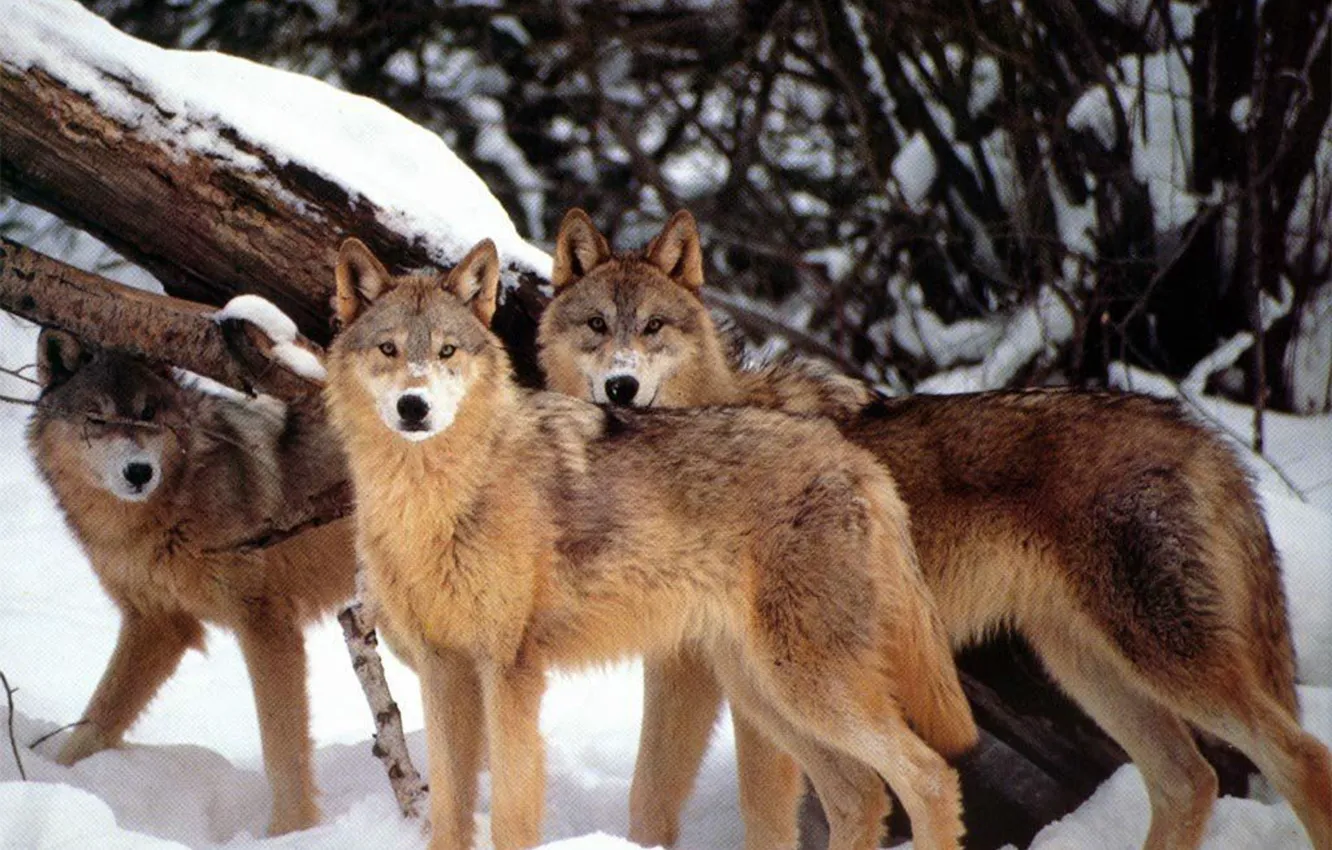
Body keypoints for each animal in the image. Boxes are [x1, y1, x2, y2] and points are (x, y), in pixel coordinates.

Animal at [27, 329, 357, 835]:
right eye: (97, 419)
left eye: (147, 413)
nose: (139, 471)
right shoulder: (157, 625)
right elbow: (93, 724)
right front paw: (56, 783)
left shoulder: (266, 624)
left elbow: (282, 750)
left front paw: (290, 833)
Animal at [323, 236, 978, 850]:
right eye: (388, 350)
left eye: (446, 352)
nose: (414, 405)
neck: (436, 502)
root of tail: (853, 456)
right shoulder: (442, 671)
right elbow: (447, 816)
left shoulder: (510, 673)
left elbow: (510, 815)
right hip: (764, 691)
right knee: (860, 794)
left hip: (807, 685)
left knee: (928, 776)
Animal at [536, 208, 1332, 850]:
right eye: (597, 326)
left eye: (653, 328)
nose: (621, 387)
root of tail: (1196, 432)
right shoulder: (690, 669)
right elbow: (650, 801)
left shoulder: (742, 694)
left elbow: (769, 816)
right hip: (1088, 668)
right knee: (1189, 780)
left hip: (1162, 659)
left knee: (1300, 758)